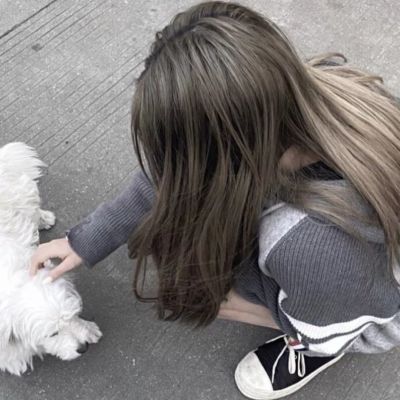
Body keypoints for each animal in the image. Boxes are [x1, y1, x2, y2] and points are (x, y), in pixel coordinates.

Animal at [0, 142, 102, 375]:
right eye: (52, 334)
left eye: (72, 316)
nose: (82, 348)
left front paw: (87, 329)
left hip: (23, 196)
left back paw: (44, 218)